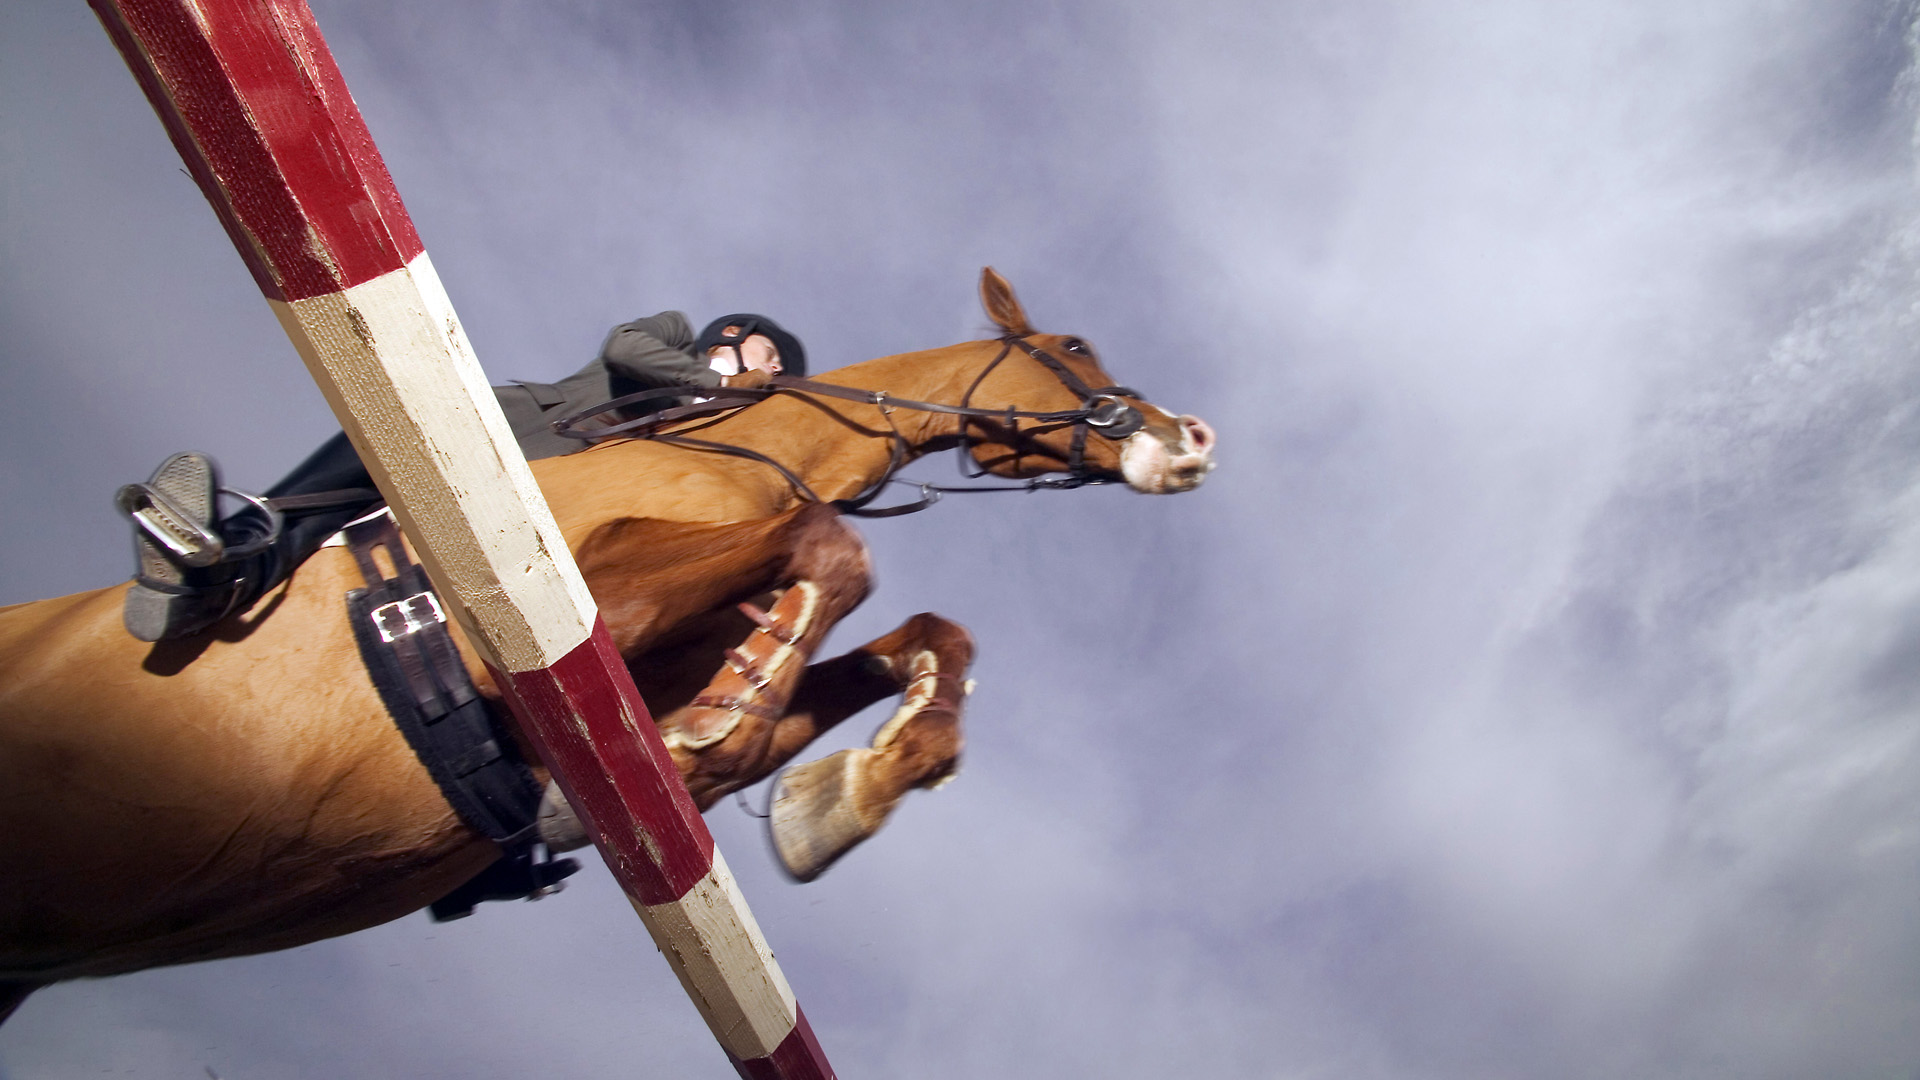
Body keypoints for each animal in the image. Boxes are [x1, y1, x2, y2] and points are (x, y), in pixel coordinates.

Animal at [0, 269, 1213, 1006]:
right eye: (1072, 342)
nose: (1191, 441)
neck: (751, 453)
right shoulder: (525, 622)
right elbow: (829, 550)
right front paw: (734, 720)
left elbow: (915, 637)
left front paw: (839, 792)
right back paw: (192, 545)